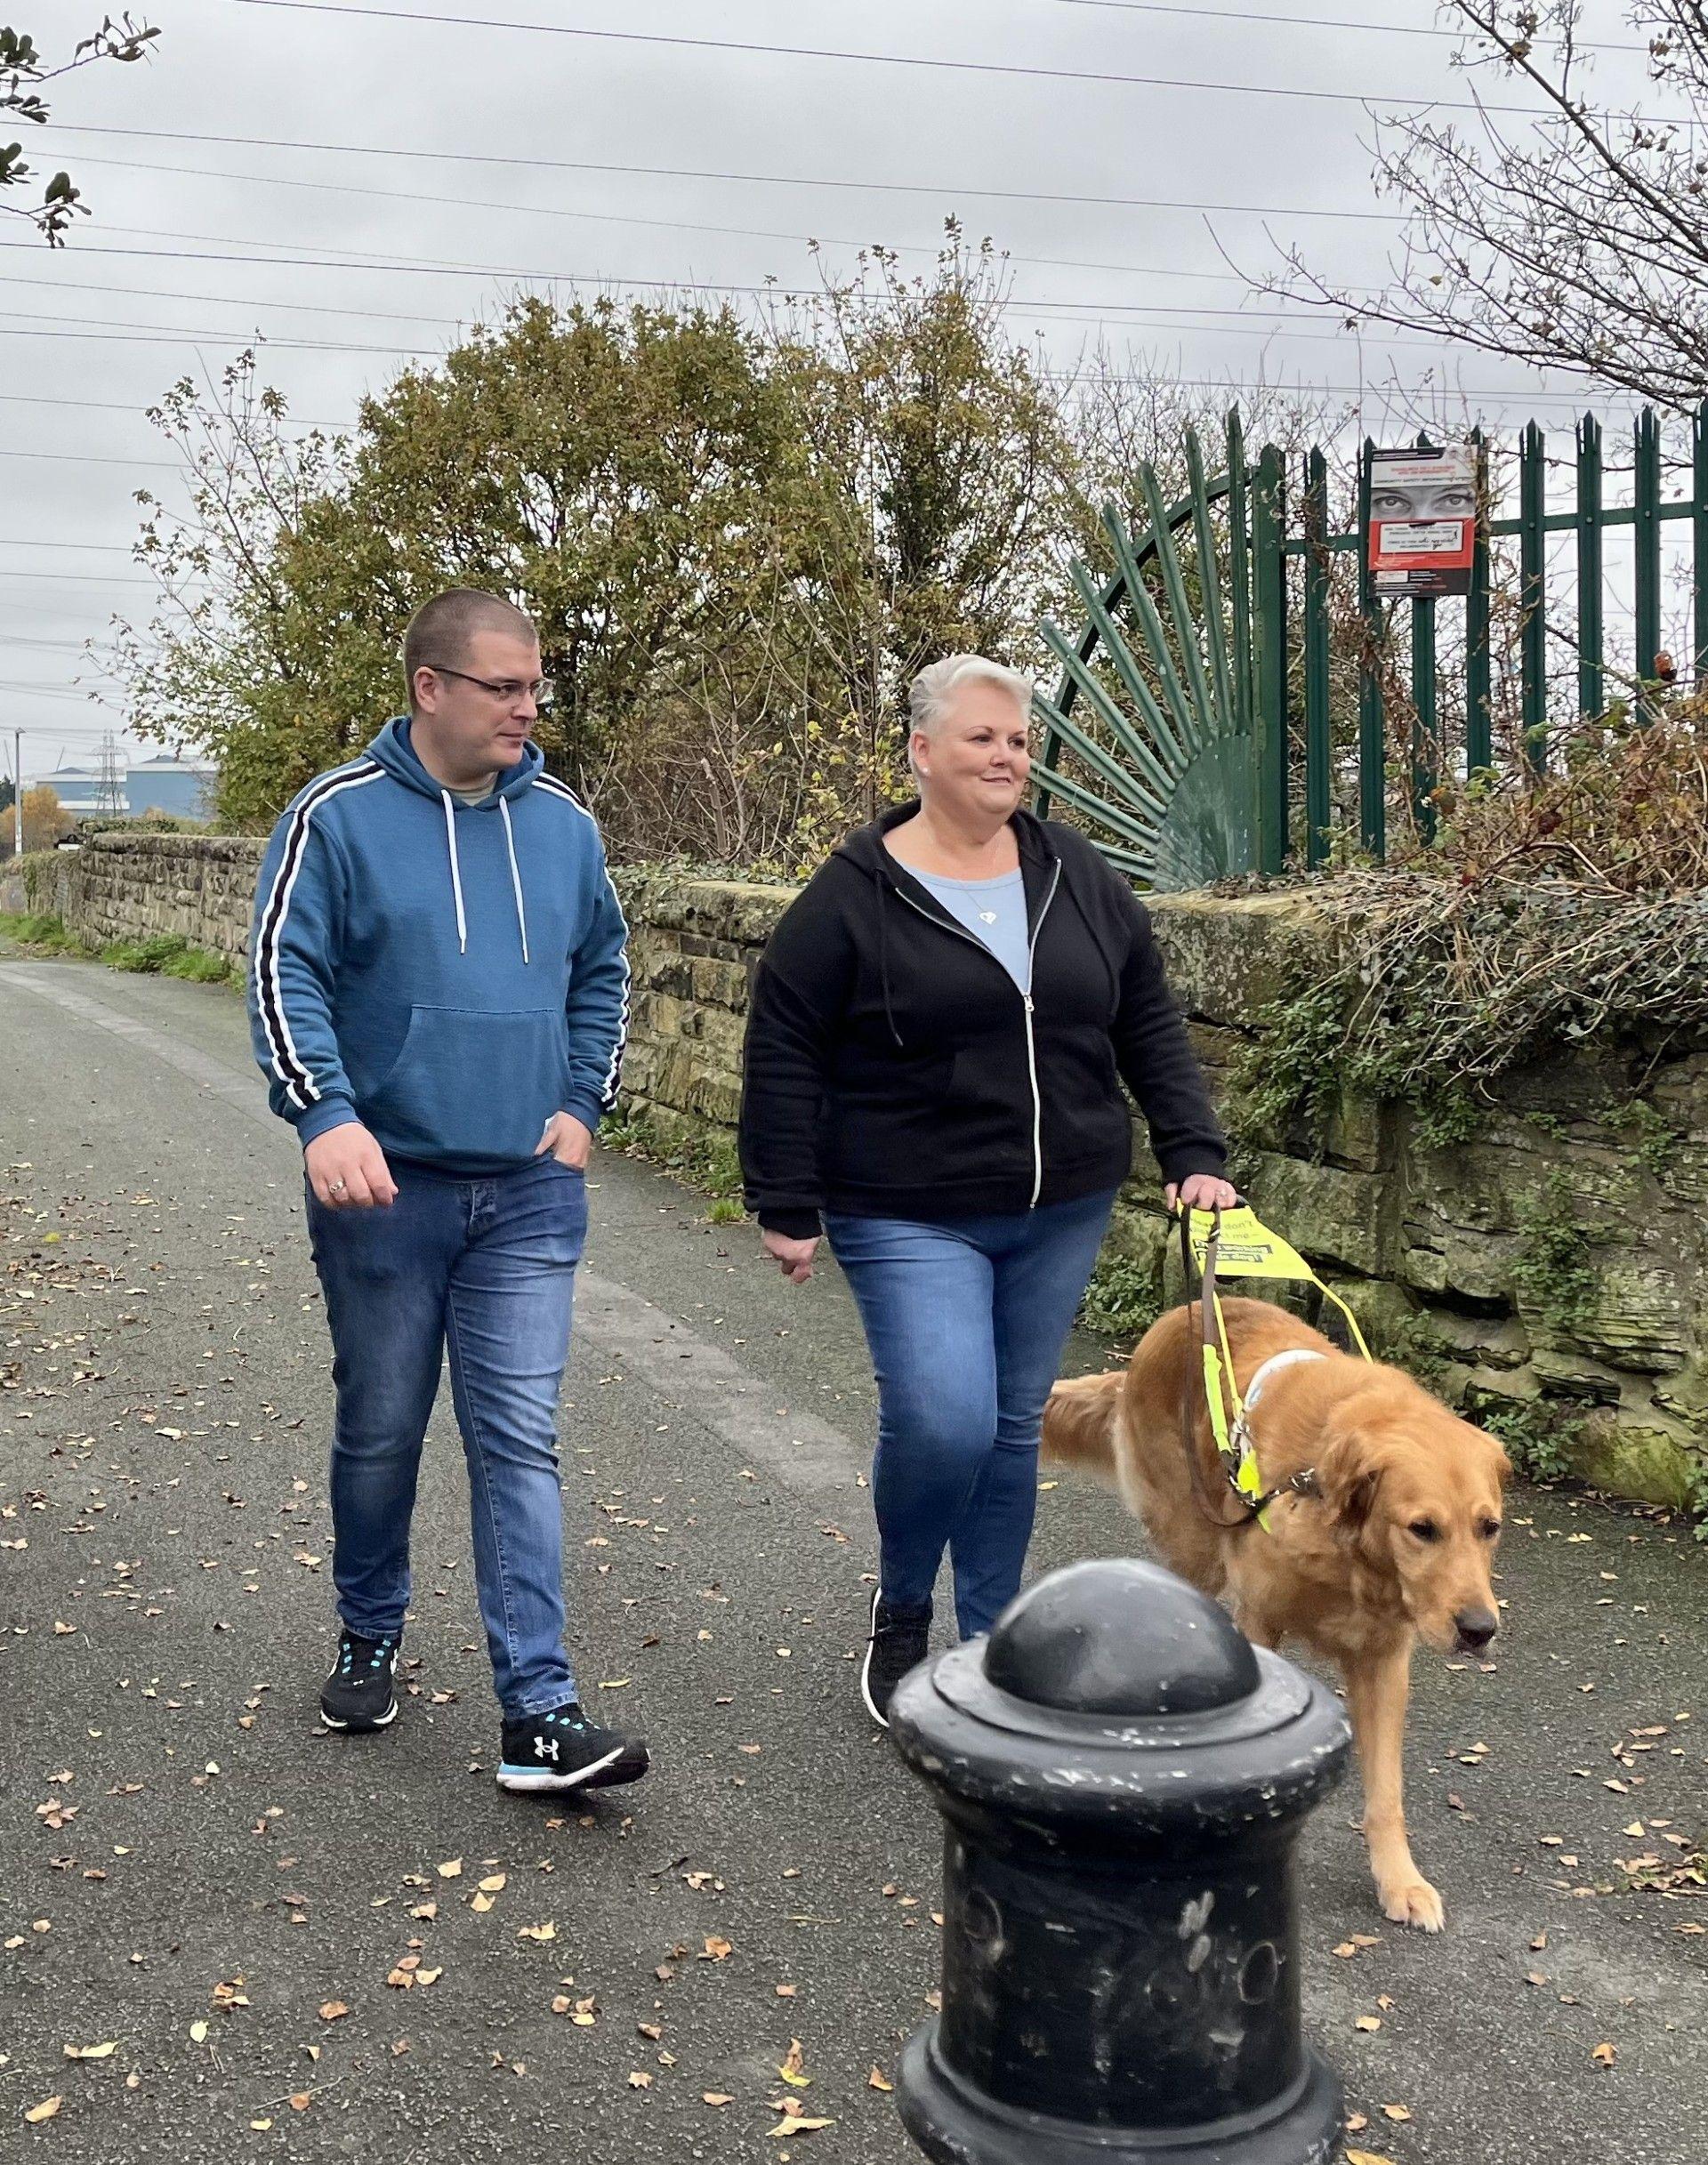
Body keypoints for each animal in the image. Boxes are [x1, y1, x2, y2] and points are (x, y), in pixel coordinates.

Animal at [1039, 1290, 1506, 1939]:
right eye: (1423, 1529)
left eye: (1489, 1528)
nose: (1479, 1631)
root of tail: (1172, 1321)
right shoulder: (1260, 1622)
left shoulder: (1383, 1661)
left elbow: (1386, 1793)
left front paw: (1401, 1882)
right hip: (1194, 1545)